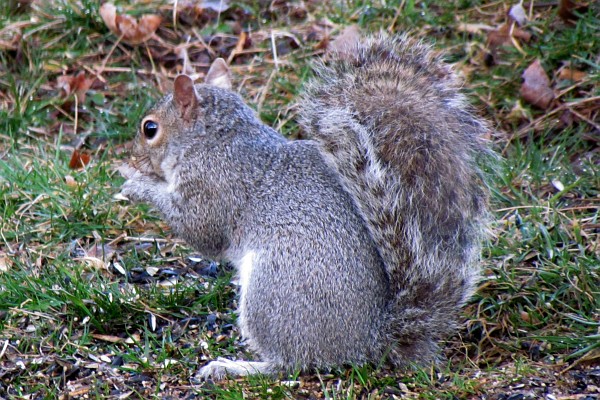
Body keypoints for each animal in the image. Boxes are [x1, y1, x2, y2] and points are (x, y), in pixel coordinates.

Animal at [118, 32, 492, 380]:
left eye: (150, 128)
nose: (132, 155)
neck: (214, 140)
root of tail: (370, 341)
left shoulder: (214, 187)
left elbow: (201, 231)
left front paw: (134, 182)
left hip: (273, 290)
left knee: (291, 363)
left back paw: (234, 367)